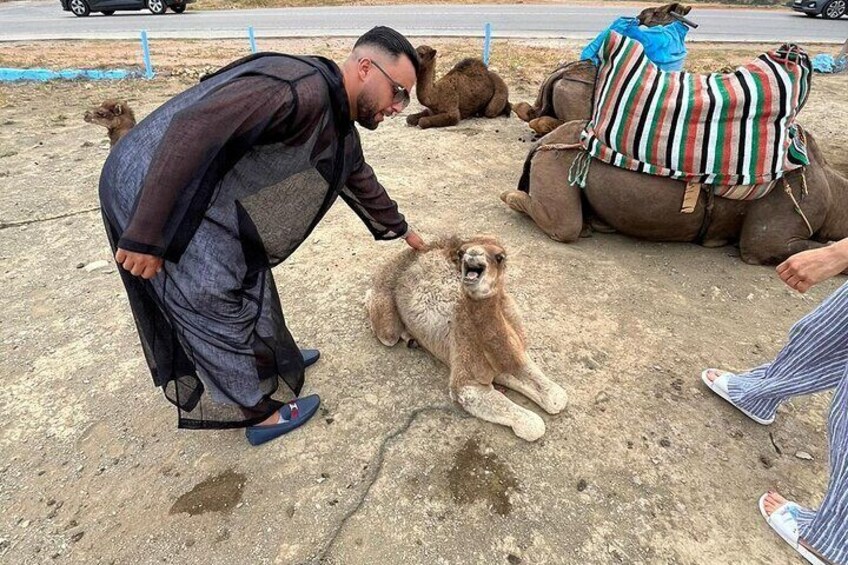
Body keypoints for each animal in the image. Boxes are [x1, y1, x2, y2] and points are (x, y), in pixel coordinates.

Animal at [368, 234, 568, 440]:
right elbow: (533, 424)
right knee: (386, 330)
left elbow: (557, 396)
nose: (472, 254)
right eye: (462, 252)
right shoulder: (465, 378)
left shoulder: (515, 353)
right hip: (385, 304)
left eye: (500, 257)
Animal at [500, 120, 848, 266]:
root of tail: (542, 143)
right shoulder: (769, 236)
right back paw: (510, 199)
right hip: (558, 159)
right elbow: (784, 247)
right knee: (565, 225)